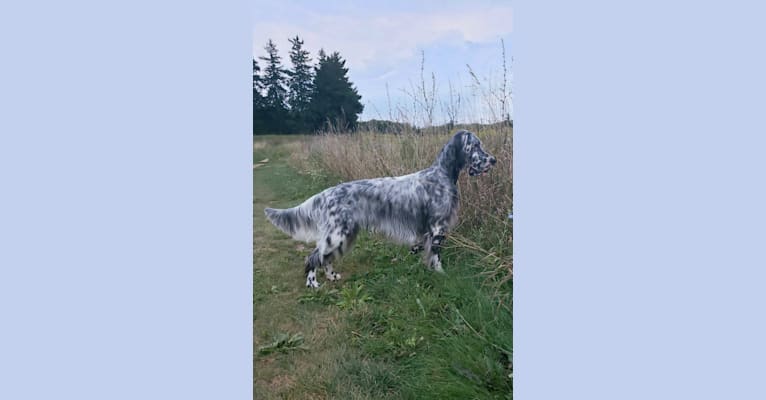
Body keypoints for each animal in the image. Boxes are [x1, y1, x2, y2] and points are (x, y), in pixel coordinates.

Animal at [266, 130, 498, 288]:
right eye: (475, 146)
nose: (493, 160)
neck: (442, 174)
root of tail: (325, 194)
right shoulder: (438, 227)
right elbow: (436, 256)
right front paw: (441, 274)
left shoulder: (428, 230)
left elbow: (425, 249)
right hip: (337, 234)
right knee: (314, 257)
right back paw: (312, 282)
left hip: (345, 234)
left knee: (326, 258)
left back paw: (332, 276)